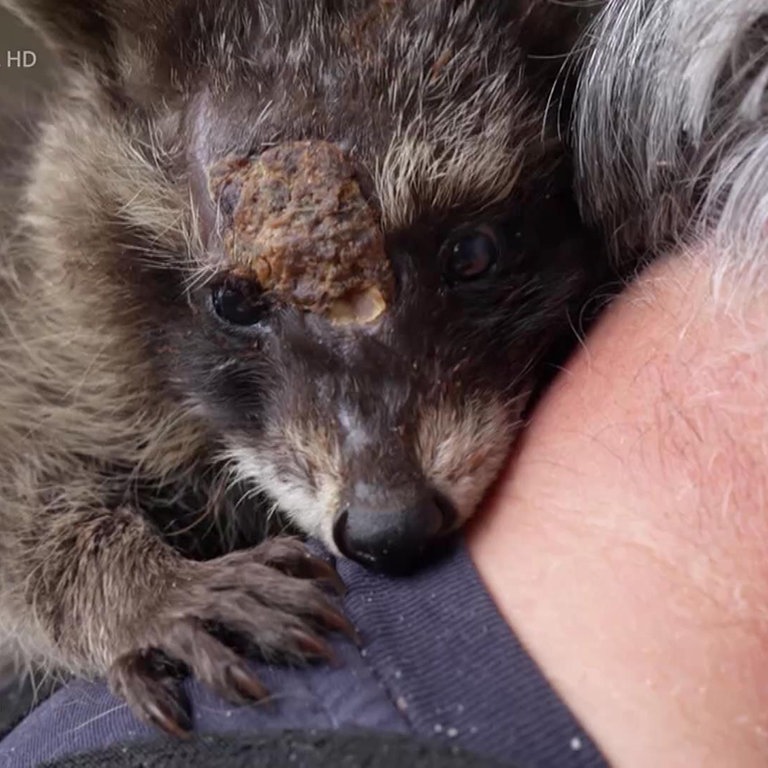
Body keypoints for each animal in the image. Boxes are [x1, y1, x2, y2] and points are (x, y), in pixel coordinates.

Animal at [0, 0, 600, 736]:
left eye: (473, 253)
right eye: (233, 301)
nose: (390, 530)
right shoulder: (53, 339)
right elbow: (22, 487)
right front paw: (141, 589)